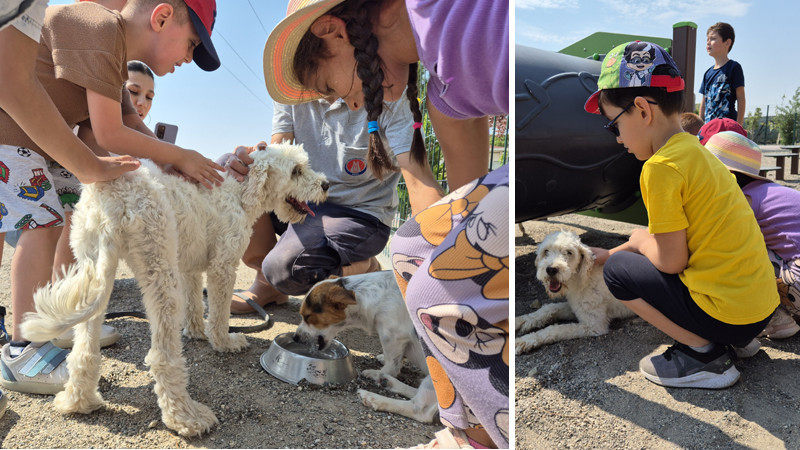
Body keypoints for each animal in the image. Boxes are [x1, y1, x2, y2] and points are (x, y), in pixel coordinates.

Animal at [21, 143, 328, 436]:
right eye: (297, 170)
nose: (325, 185)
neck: (239, 191)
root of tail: (114, 195)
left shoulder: (188, 268)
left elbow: (195, 304)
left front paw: (196, 332)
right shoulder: (222, 267)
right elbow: (219, 315)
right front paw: (224, 343)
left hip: (95, 267)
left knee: (84, 350)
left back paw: (77, 401)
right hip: (159, 271)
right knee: (162, 357)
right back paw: (186, 417)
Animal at [296, 270, 438, 422]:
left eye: (308, 316)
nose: (295, 337)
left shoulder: (393, 336)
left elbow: (392, 365)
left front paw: (382, 371)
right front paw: (383, 364)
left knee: (421, 411)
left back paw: (375, 396)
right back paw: (387, 382)